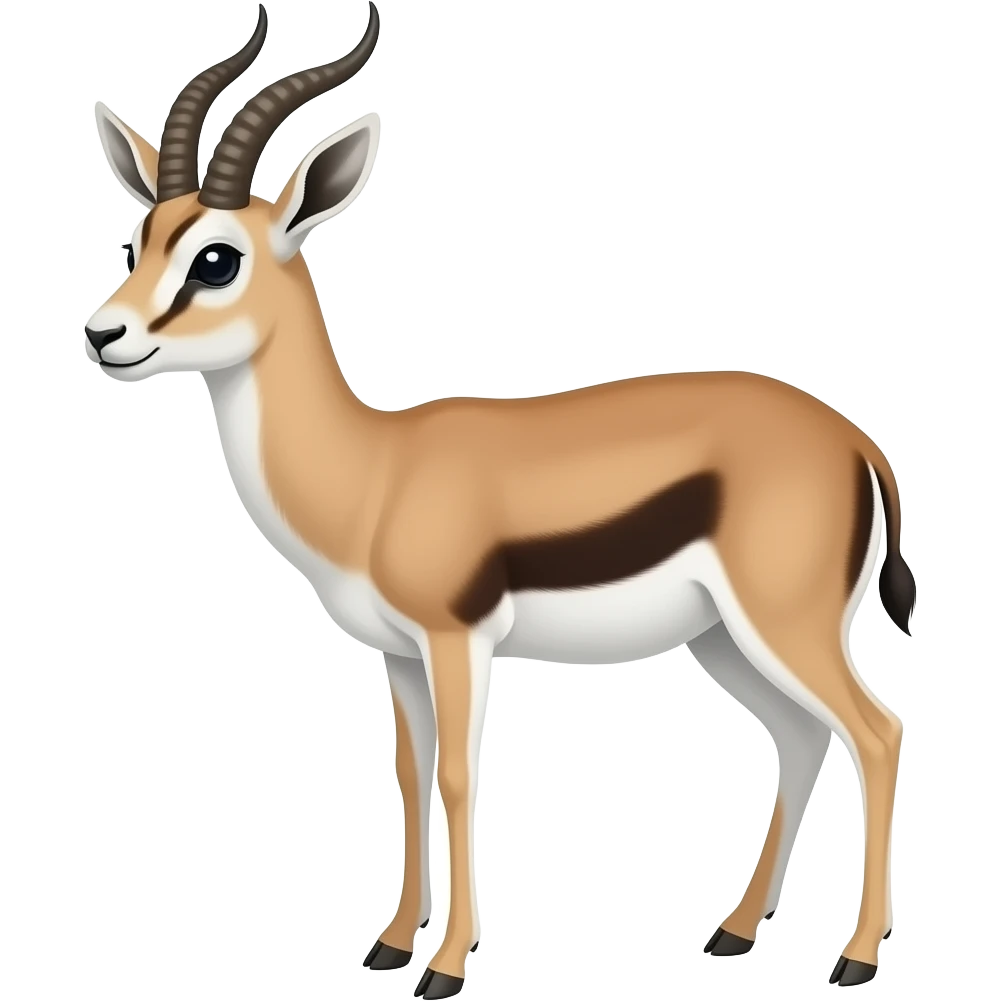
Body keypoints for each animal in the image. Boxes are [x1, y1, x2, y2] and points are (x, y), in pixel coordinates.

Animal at [84, 3, 916, 995]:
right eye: (140, 238)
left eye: (216, 259)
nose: (103, 333)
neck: (376, 472)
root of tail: (854, 439)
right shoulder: (397, 654)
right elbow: (410, 773)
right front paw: (390, 944)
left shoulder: (457, 640)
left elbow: (458, 776)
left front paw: (444, 966)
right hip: (724, 637)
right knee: (799, 738)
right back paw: (734, 932)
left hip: (786, 623)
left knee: (876, 732)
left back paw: (855, 958)